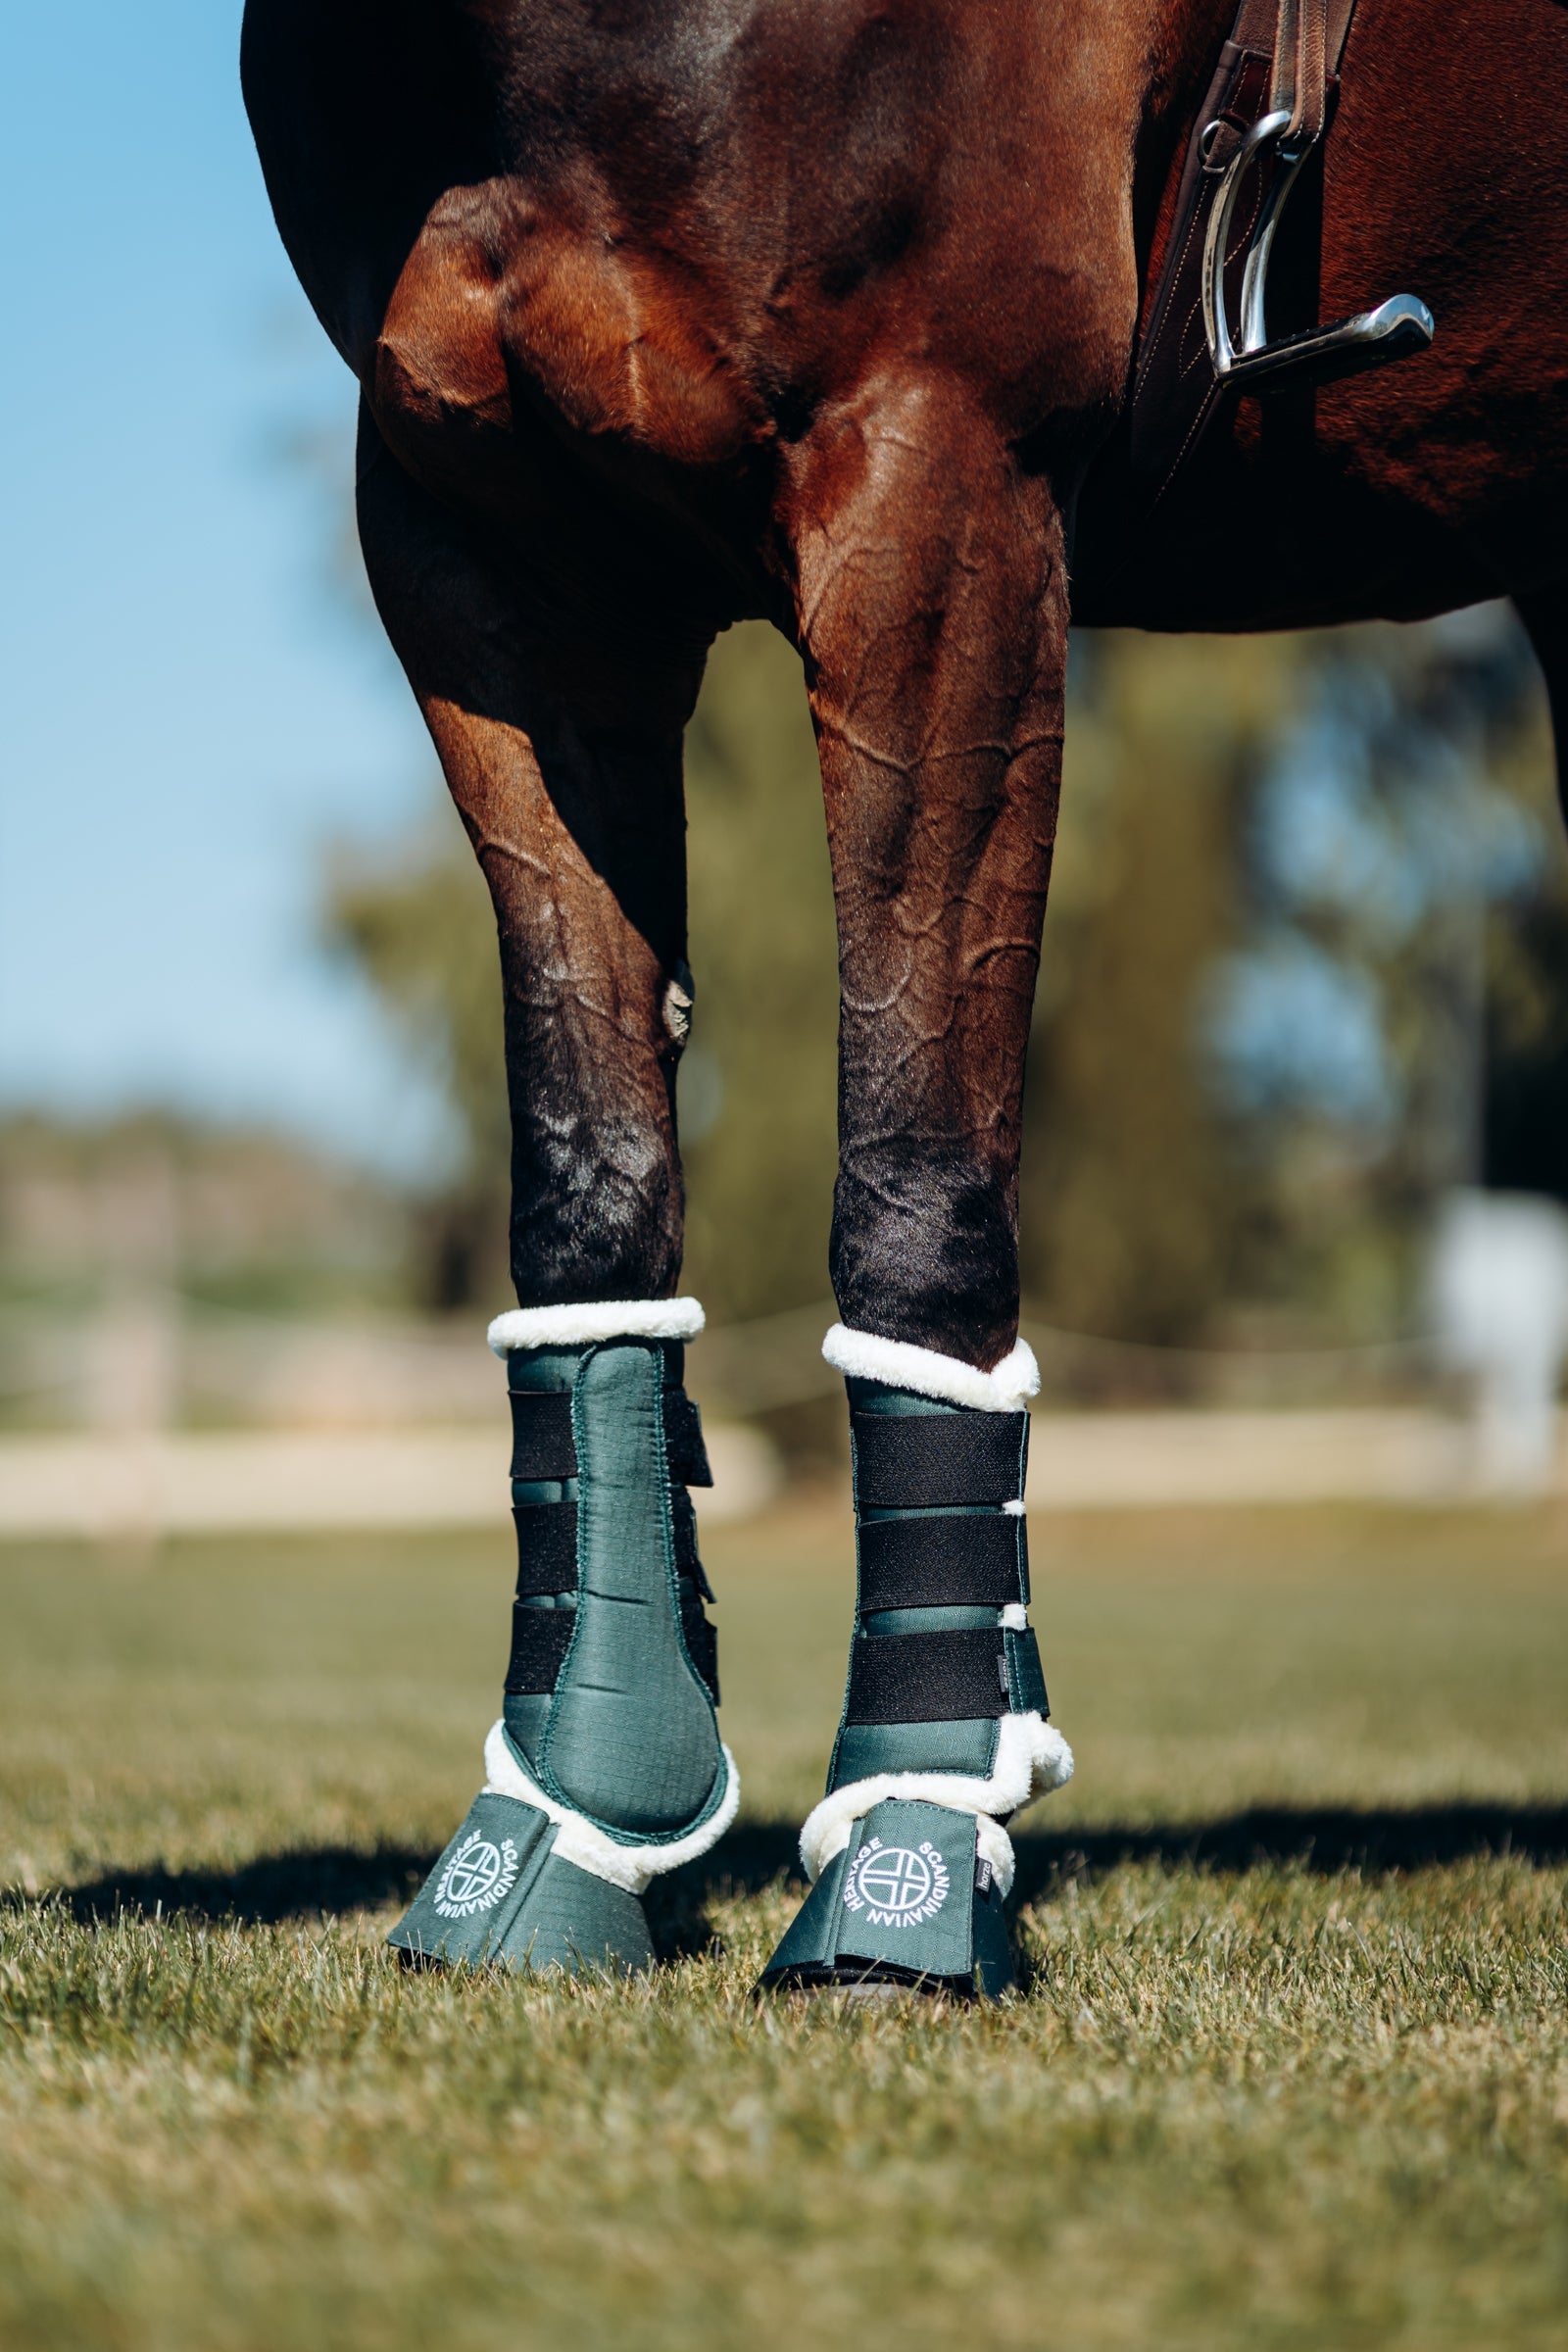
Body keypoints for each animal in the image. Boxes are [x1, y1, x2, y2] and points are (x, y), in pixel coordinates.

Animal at [241, 0, 1568, 1996]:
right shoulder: (490, 549)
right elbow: (589, 1185)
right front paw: (570, 1825)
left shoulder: (934, 482)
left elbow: (916, 1186)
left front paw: (913, 1846)